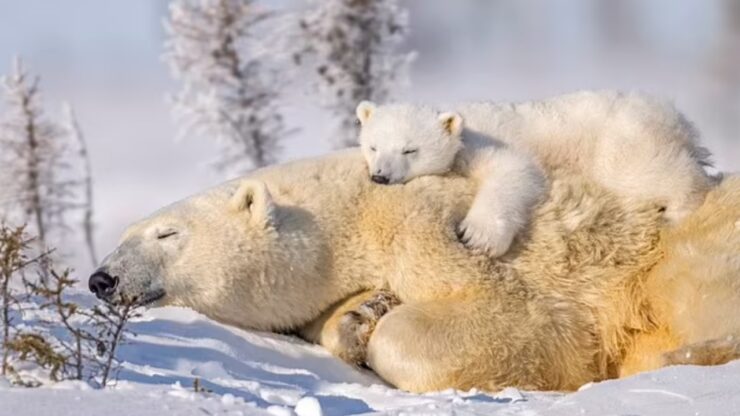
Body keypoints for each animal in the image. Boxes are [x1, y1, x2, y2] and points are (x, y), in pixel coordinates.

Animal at [356, 101, 548, 256]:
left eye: (409, 150)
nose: (380, 176)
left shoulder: (476, 148)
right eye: (373, 147)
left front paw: (476, 235)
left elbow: (514, 166)